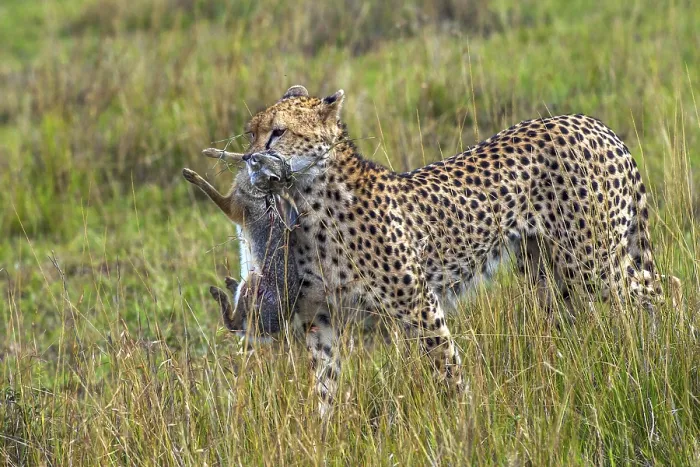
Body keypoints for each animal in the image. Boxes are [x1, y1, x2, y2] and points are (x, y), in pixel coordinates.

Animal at [212, 84, 681, 418]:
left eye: (278, 132)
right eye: (252, 132)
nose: (250, 159)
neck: (312, 199)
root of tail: (589, 122)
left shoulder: (419, 304)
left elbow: (448, 368)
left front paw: (468, 420)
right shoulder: (320, 318)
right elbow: (325, 386)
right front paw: (323, 436)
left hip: (592, 263)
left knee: (664, 287)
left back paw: (665, 349)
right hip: (549, 273)